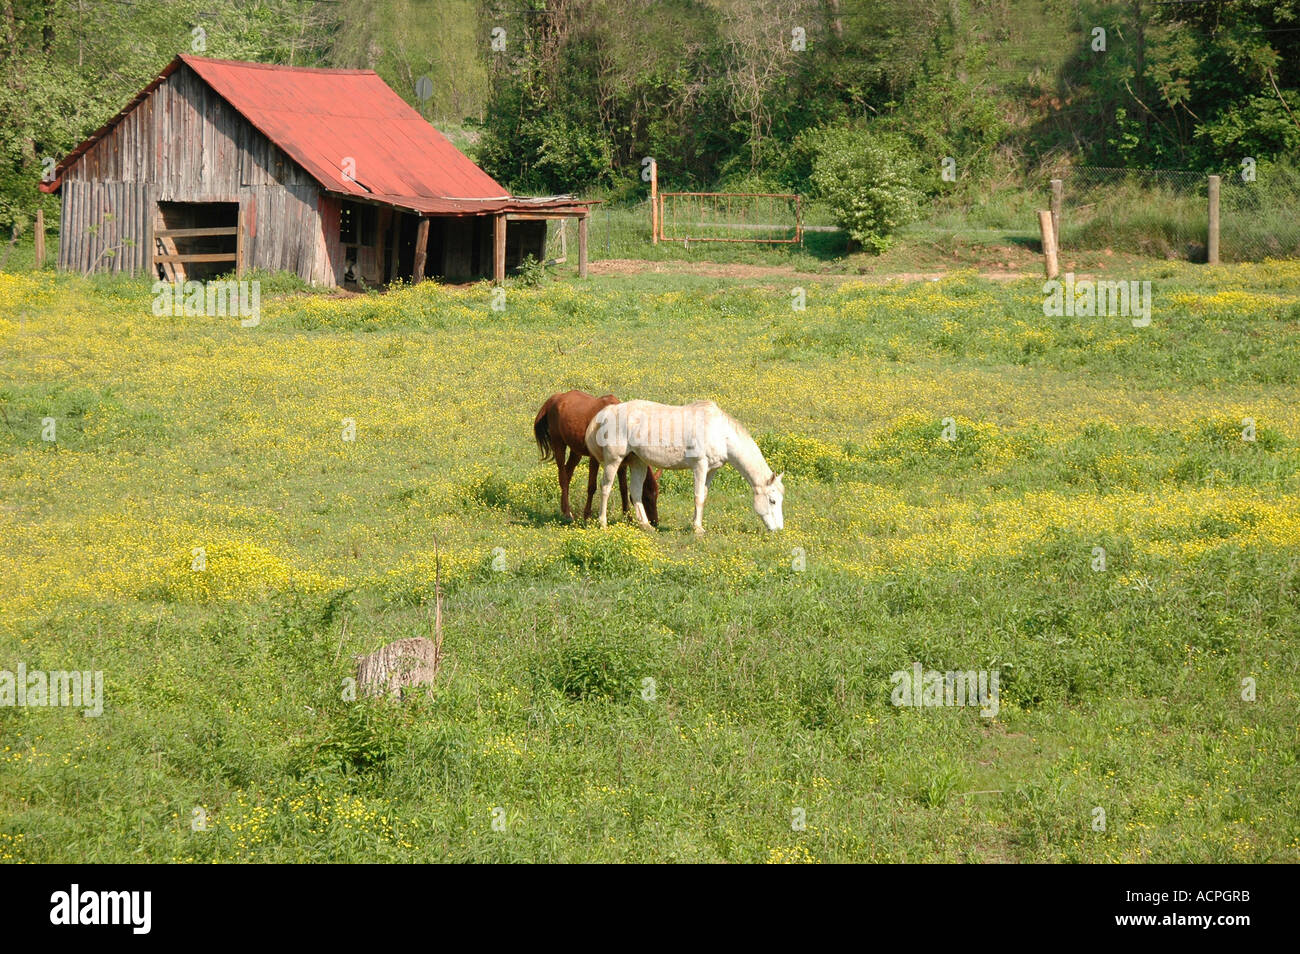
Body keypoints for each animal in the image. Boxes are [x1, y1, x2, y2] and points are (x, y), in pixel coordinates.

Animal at [535, 389, 660, 530]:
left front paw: (627, 517)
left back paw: (564, 509)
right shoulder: (594, 458)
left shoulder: (621, 463)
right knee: (562, 476)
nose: (655, 522)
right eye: (647, 497)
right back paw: (567, 513)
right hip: (559, 444)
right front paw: (587, 516)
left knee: (568, 473)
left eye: (657, 495)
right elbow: (592, 486)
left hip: (576, 451)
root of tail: (556, 398)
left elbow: (623, 488)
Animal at [587, 400, 785, 535]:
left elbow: (703, 496)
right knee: (606, 488)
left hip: (638, 462)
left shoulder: (712, 470)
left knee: (635, 491)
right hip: (614, 460)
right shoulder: (700, 466)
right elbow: (698, 497)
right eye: (773, 501)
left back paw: (646, 525)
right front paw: (698, 529)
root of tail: (609, 411)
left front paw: (696, 524)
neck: (720, 432)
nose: (779, 529)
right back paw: (603, 523)